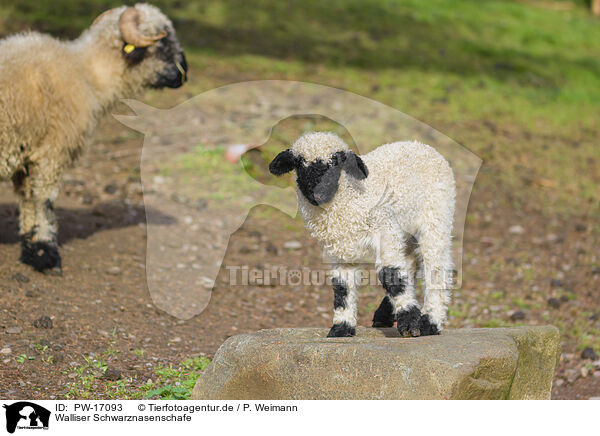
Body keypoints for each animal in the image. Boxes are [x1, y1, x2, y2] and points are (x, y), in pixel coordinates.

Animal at [0, 4, 188, 272]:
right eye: (163, 43)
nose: (186, 72)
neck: (88, 74)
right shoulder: (52, 151)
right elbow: (43, 201)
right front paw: (46, 253)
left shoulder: (27, 153)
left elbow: (26, 200)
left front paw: (30, 247)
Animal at [268, 132, 454, 338]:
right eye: (299, 163)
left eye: (336, 163)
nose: (318, 194)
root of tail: (421, 145)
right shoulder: (340, 250)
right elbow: (342, 287)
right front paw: (342, 327)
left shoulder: (384, 229)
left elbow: (391, 274)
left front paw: (410, 324)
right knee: (411, 262)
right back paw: (385, 315)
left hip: (436, 216)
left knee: (436, 266)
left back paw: (430, 321)